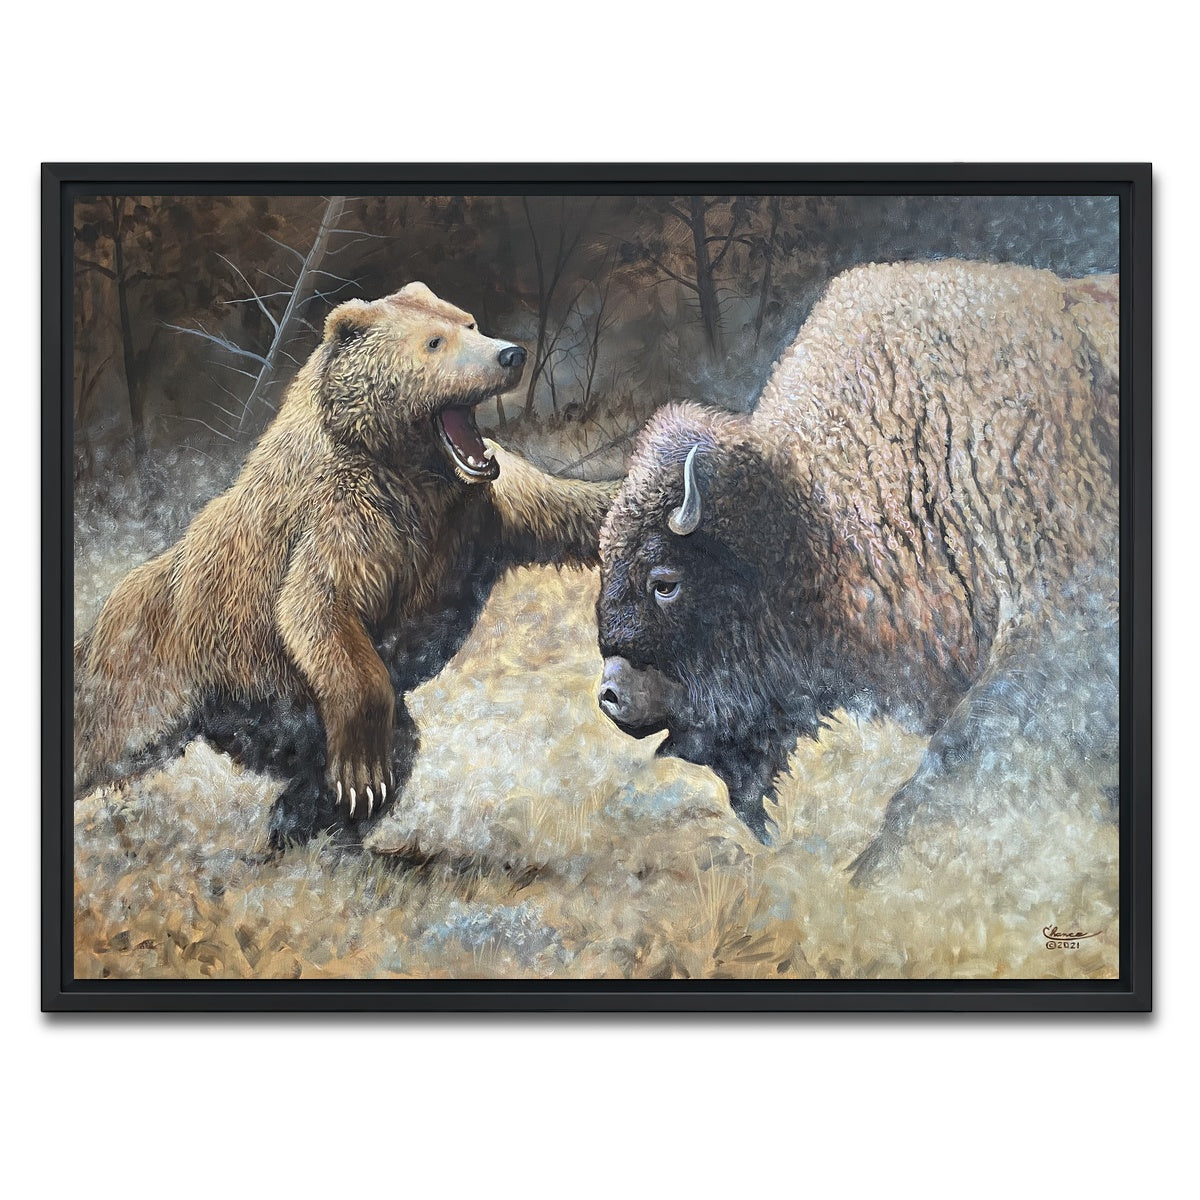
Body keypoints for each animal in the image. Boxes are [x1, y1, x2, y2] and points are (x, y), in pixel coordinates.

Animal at [74, 281, 616, 846]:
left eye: (469, 323)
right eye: (434, 341)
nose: (510, 354)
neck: (415, 472)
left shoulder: (483, 502)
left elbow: (572, 508)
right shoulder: (348, 513)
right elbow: (318, 602)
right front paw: (361, 774)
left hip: (269, 712)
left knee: (380, 746)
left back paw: (302, 822)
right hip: (167, 666)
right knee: (106, 735)